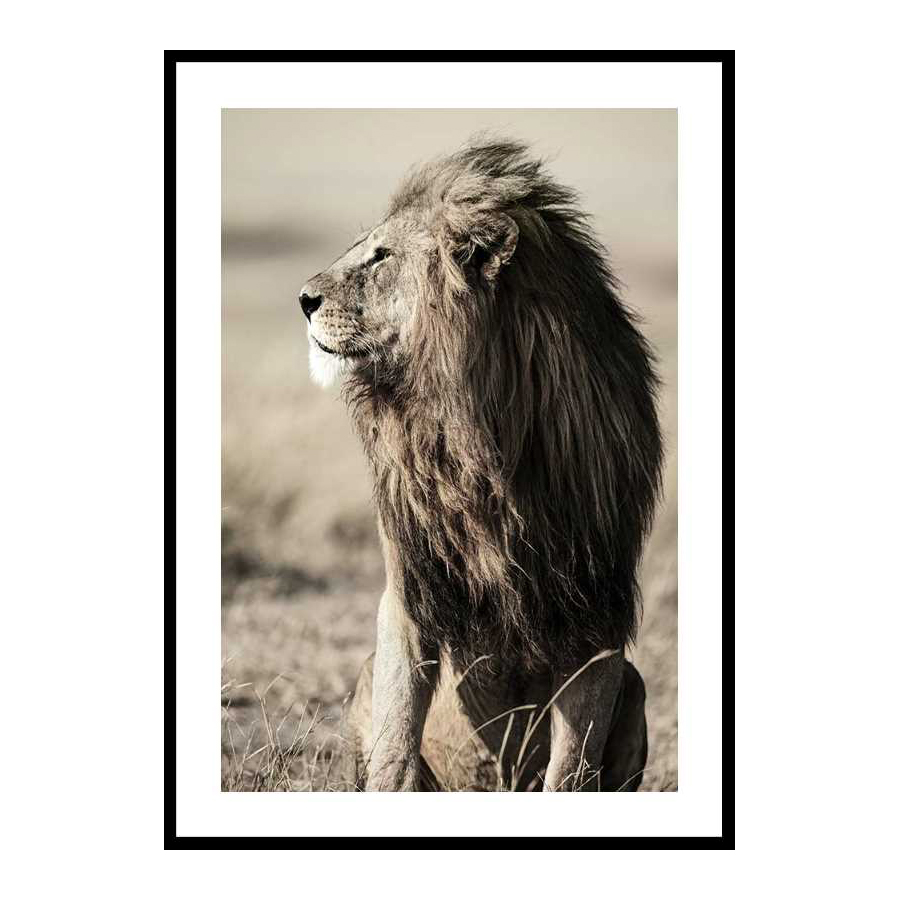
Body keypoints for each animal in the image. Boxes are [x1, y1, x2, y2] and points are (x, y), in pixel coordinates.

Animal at [299, 138, 663, 791]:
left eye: (380, 257)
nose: (303, 300)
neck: (474, 436)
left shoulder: (599, 611)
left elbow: (571, 766)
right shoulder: (408, 589)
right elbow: (396, 741)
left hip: (637, 685)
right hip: (365, 672)